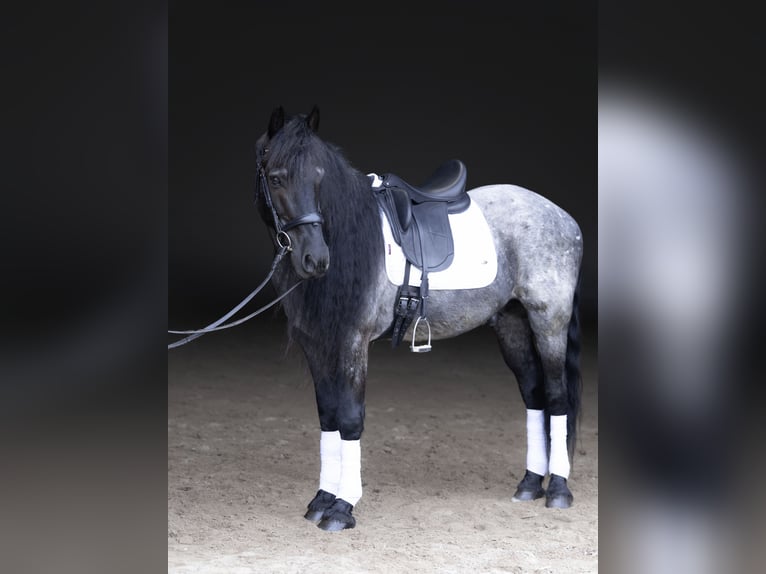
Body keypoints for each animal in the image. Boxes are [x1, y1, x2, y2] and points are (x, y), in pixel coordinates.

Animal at [254, 106, 583, 531]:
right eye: (276, 178)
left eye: (319, 177)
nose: (316, 260)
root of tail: (562, 217)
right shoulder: (318, 344)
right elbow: (328, 416)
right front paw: (321, 500)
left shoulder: (352, 342)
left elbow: (350, 418)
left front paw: (342, 507)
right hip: (512, 323)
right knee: (534, 394)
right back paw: (529, 483)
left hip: (549, 321)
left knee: (557, 396)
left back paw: (558, 489)